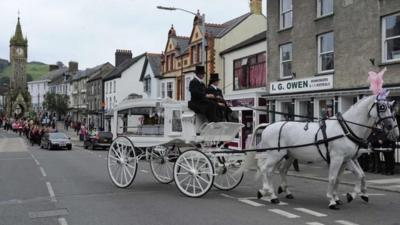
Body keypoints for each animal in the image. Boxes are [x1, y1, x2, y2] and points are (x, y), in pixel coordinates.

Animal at [242, 93, 398, 209]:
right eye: (382, 107)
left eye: (391, 108)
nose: (391, 127)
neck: (345, 129)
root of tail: (269, 126)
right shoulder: (337, 158)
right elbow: (334, 178)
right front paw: (333, 200)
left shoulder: (347, 159)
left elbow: (356, 176)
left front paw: (350, 195)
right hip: (276, 154)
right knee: (266, 170)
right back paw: (271, 194)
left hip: (287, 155)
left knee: (278, 170)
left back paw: (275, 192)